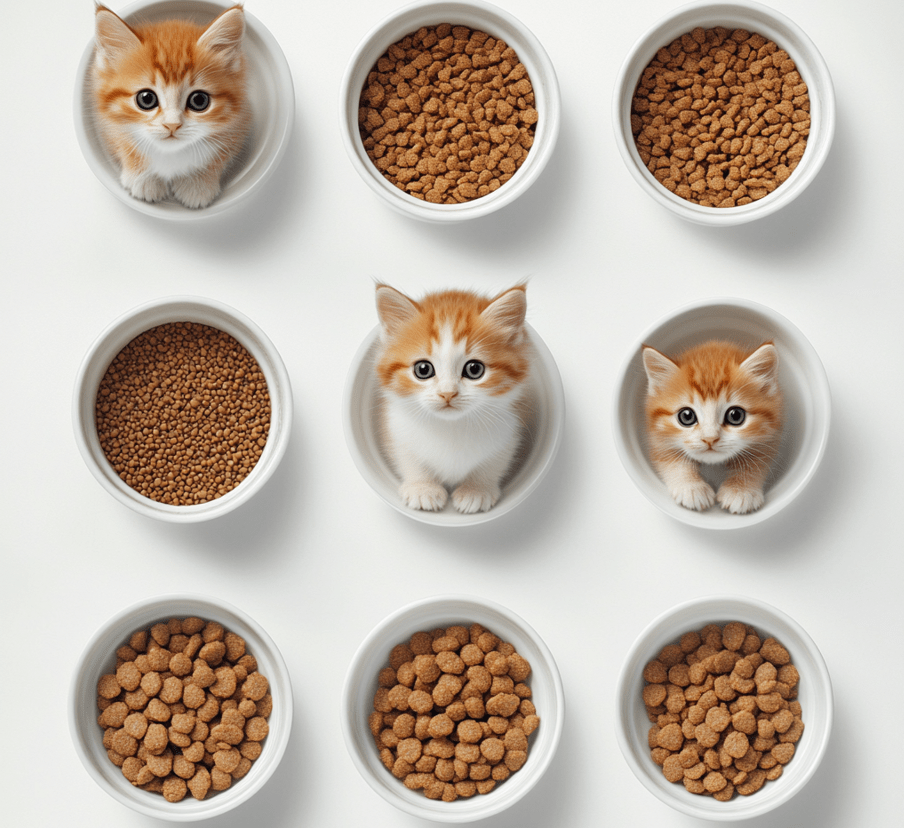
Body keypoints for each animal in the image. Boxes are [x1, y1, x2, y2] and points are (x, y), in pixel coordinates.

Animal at [91, 6, 249, 209]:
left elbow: (223, 150)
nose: (172, 124)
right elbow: (123, 141)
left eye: (199, 101)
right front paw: (144, 178)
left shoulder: (241, 120)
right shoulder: (106, 122)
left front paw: (197, 184)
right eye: (146, 99)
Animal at [372, 288, 528, 516]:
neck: (450, 426)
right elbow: (407, 455)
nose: (447, 393)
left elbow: (494, 460)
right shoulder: (395, 426)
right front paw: (422, 488)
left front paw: (476, 489)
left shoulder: (510, 427)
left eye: (474, 369)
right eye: (423, 369)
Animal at [644, 342, 784, 512]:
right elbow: (669, 458)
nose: (710, 439)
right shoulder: (656, 436)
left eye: (735, 415)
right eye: (686, 416)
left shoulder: (771, 435)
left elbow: (757, 460)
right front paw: (691, 487)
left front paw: (741, 490)